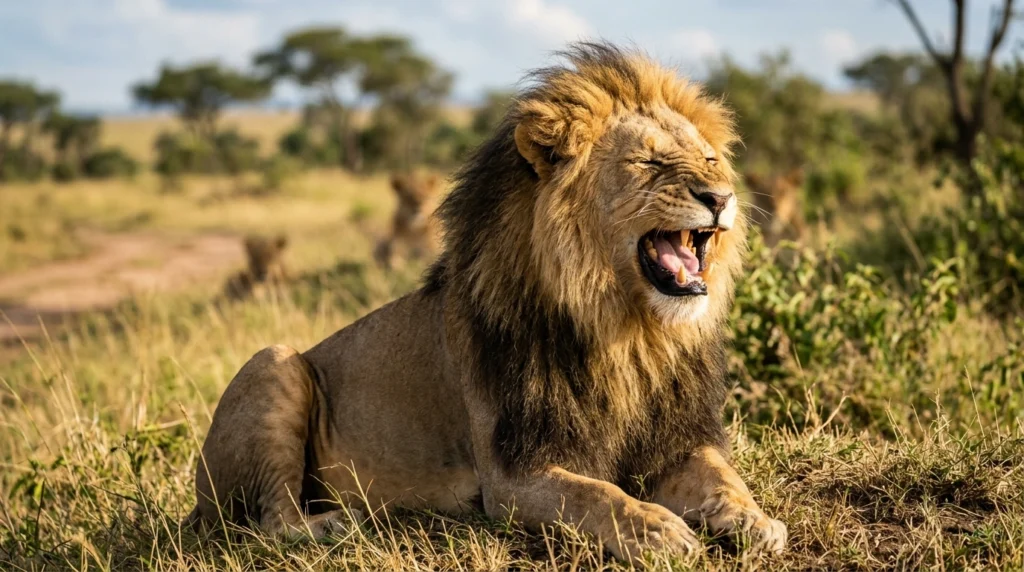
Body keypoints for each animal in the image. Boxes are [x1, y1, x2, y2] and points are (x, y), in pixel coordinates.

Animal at [186, 43, 787, 564]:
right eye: (649, 163)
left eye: (709, 159)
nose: (721, 197)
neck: (628, 331)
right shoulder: (511, 476)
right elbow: (596, 495)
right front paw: (657, 529)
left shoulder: (678, 439)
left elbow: (724, 478)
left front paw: (756, 521)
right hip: (273, 362)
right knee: (269, 521)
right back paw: (332, 523)